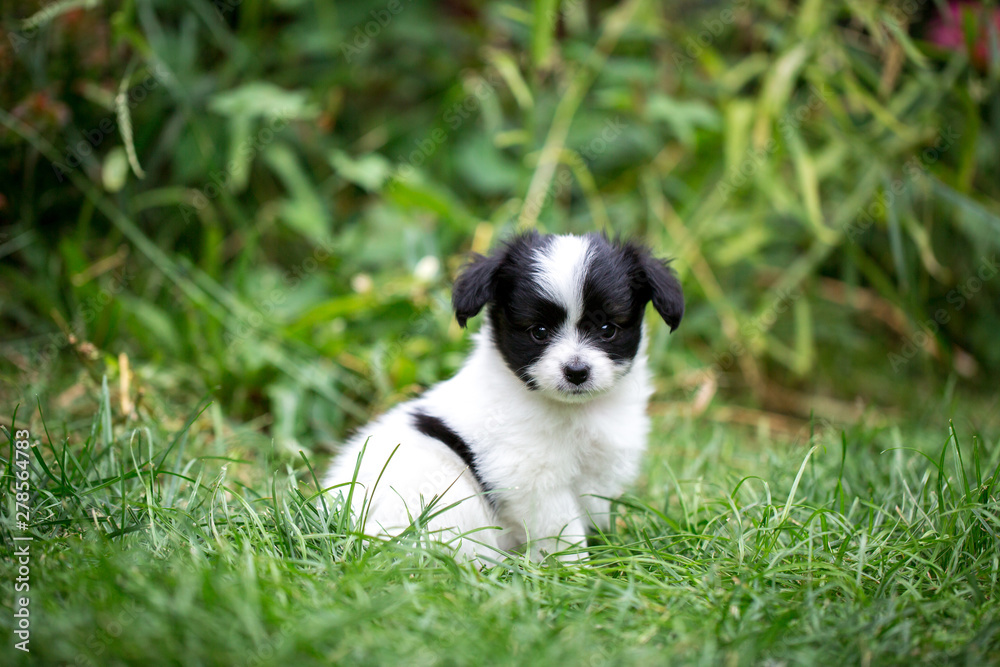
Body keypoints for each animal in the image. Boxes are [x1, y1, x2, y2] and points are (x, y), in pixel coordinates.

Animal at [324, 232, 684, 560]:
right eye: (539, 332)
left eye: (608, 329)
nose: (576, 371)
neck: (574, 410)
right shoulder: (531, 477)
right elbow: (562, 531)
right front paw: (575, 570)